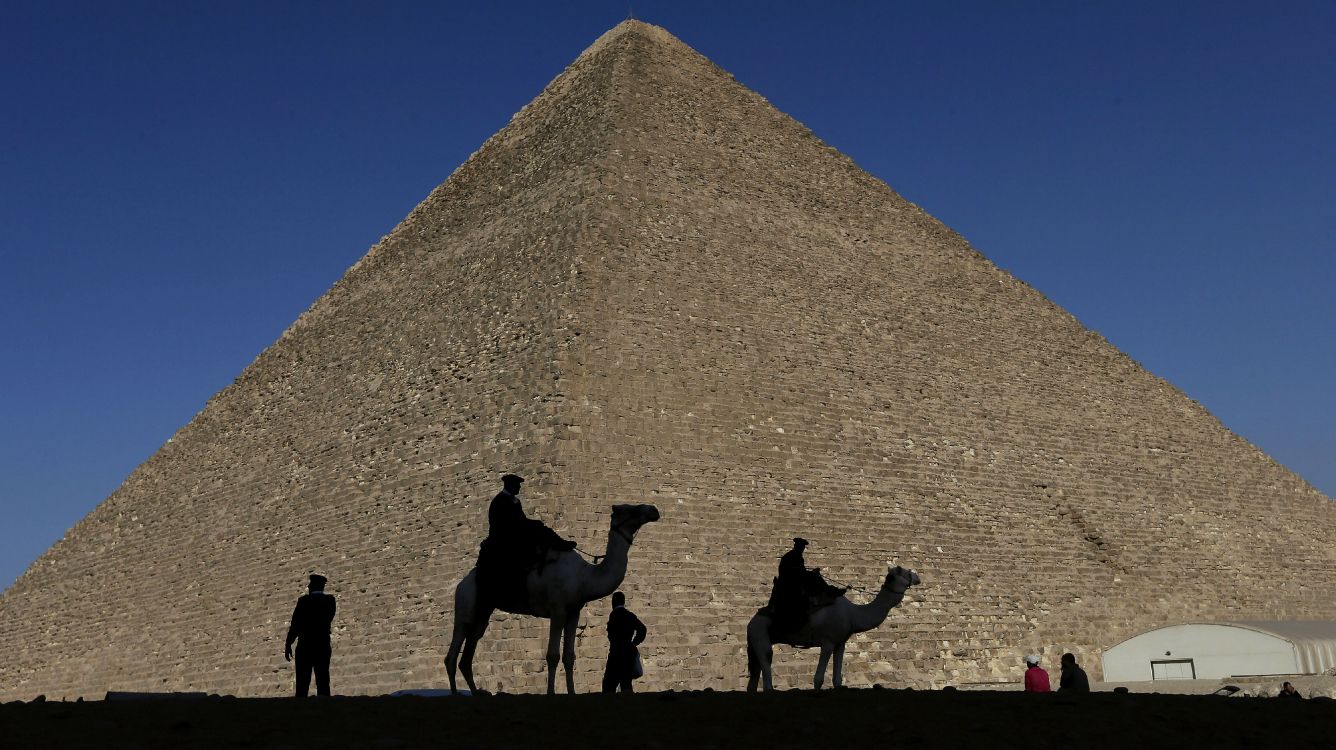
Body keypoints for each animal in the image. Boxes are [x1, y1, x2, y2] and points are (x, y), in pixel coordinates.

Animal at [446, 502, 659, 695]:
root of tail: (462, 583)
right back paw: (456, 694)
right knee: (453, 652)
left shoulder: (574, 612)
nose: (653, 510)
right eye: (628, 509)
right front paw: (550, 692)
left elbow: (569, 656)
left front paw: (572, 692)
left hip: (484, 610)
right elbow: (552, 655)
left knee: (470, 649)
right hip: (465, 604)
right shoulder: (557, 610)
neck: (585, 577)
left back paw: (476, 693)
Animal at [742, 561, 919, 689]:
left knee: (753, 680)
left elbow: (837, 679)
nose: (918, 577)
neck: (853, 614)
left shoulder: (840, 643)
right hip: (760, 633)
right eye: (905, 572)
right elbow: (818, 679)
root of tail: (751, 622)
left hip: (754, 642)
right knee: (767, 664)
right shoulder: (827, 642)